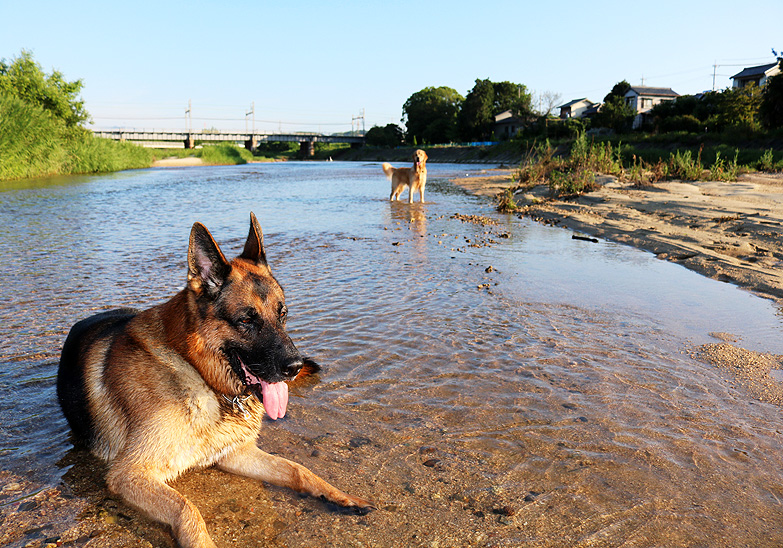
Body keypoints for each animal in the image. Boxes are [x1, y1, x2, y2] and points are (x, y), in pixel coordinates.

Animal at [56, 213, 372, 548]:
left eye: (282, 314)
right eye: (246, 320)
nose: (295, 367)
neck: (198, 374)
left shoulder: (236, 453)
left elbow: (296, 468)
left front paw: (340, 495)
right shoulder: (129, 473)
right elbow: (187, 509)